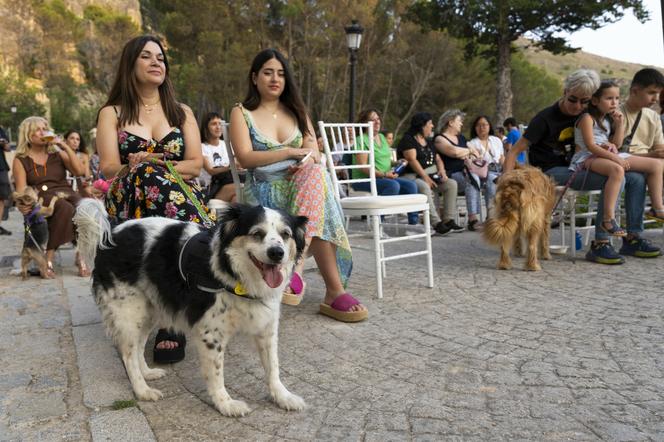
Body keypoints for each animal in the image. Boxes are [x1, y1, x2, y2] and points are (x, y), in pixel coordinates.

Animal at [74, 199, 308, 416]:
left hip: (149, 311)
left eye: (285, 234)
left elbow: (273, 367)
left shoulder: (267, 328)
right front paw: (225, 404)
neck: (233, 273)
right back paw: (142, 390)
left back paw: (147, 373)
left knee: (139, 346)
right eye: (257, 233)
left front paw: (283, 397)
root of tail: (109, 236)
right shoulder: (211, 334)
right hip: (129, 313)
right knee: (129, 355)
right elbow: (216, 373)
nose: (277, 253)